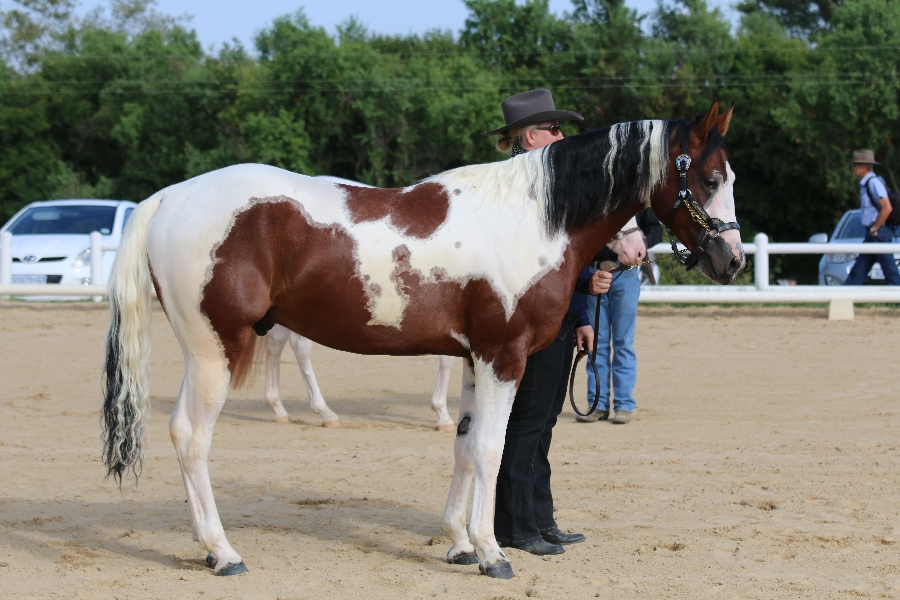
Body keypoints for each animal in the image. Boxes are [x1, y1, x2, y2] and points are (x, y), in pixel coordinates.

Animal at [102, 101, 740, 580]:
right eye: (710, 179)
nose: (730, 259)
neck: (531, 218)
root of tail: (169, 197)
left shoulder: (473, 359)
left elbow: (462, 445)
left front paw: (458, 542)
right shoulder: (503, 357)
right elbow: (491, 450)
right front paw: (492, 553)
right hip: (214, 350)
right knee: (191, 437)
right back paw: (223, 552)